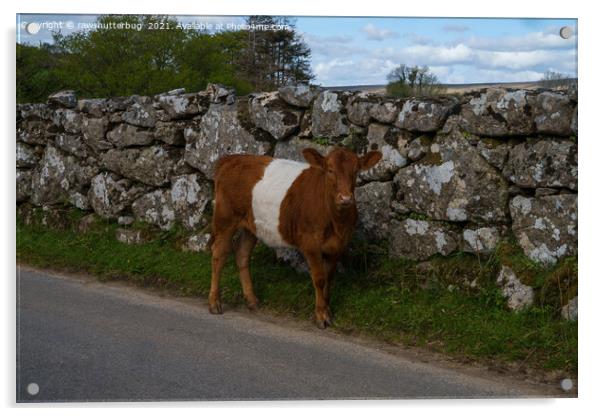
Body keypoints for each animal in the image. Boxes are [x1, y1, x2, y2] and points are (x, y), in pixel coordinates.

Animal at [209, 146, 382, 328]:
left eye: (356, 171)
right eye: (330, 170)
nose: (346, 198)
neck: (336, 223)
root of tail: (232, 158)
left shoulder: (337, 246)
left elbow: (329, 279)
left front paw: (327, 311)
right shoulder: (310, 244)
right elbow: (319, 279)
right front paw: (321, 315)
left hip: (251, 225)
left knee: (242, 254)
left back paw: (252, 301)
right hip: (225, 219)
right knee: (218, 255)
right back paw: (214, 303)